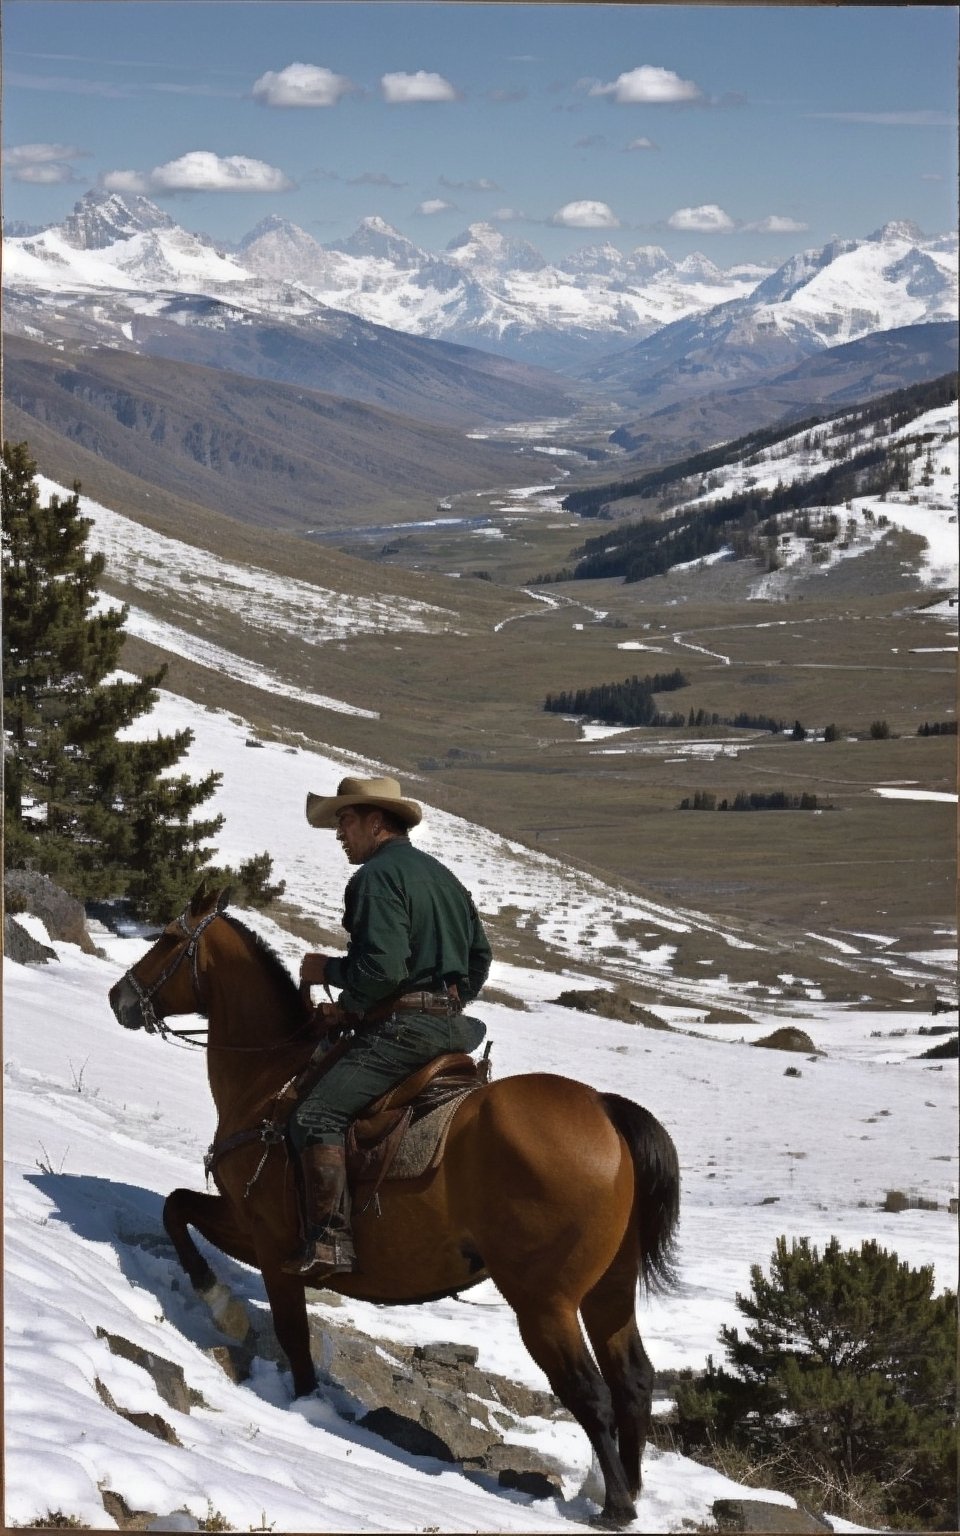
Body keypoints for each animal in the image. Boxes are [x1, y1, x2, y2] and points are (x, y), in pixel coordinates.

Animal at [108, 890, 678, 1523]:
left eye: (166, 938)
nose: (119, 998)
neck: (270, 1078)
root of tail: (605, 1111)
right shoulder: (246, 1224)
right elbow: (176, 1207)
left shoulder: (273, 1242)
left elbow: (290, 1331)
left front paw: (248, 1338)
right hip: (609, 1288)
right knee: (632, 1380)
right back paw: (630, 1489)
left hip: (544, 1302)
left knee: (589, 1391)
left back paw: (616, 1507)